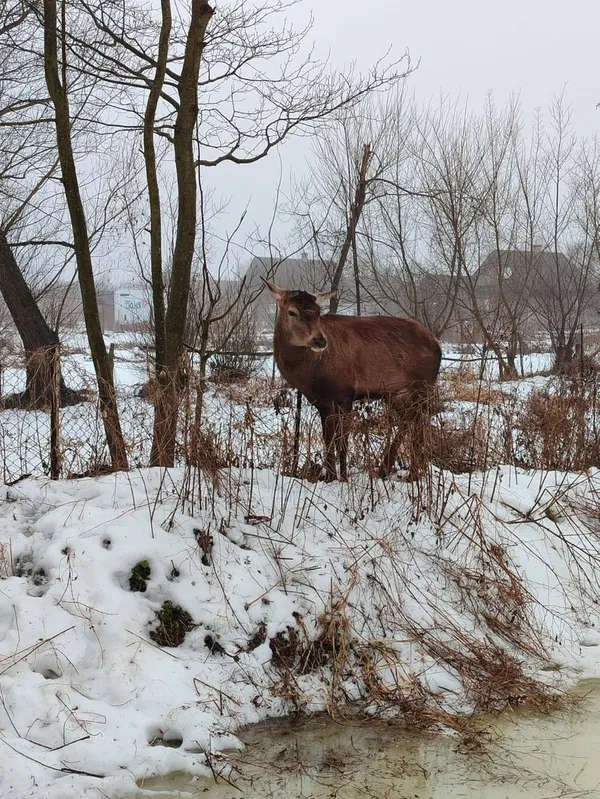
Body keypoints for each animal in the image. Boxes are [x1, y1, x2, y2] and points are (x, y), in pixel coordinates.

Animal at [263, 279, 442, 482]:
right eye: (292, 312)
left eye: (318, 312)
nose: (320, 341)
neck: (311, 375)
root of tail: (437, 344)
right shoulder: (322, 402)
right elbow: (328, 439)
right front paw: (329, 476)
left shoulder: (345, 395)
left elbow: (342, 442)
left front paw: (343, 477)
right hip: (396, 393)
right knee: (410, 420)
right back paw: (388, 470)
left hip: (422, 386)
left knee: (419, 424)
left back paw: (412, 474)